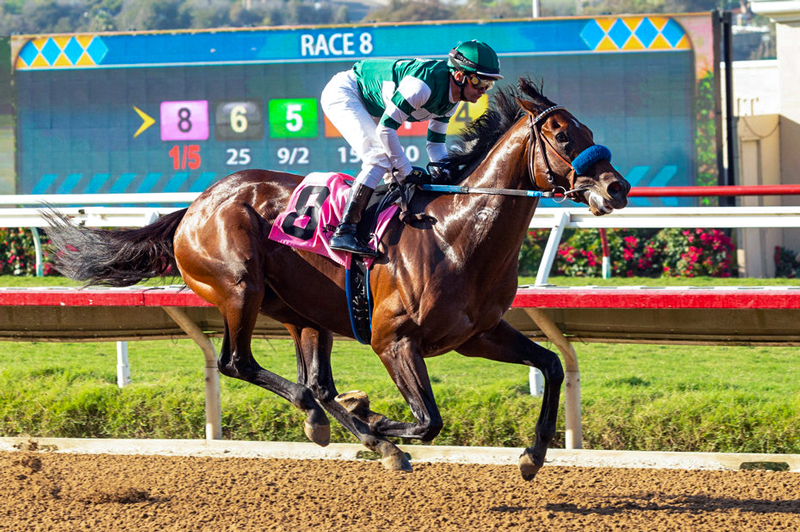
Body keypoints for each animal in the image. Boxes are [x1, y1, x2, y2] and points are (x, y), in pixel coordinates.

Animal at [45, 79, 632, 482]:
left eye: (589, 132)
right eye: (562, 135)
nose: (617, 188)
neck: (456, 233)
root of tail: (196, 205)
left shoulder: (477, 335)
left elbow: (551, 365)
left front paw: (533, 455)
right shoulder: (392, 339)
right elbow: (427, 420)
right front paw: (376, 426)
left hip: (304, 314)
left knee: (316, 382)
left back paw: (339, 422)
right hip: (239, 288)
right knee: (242, 364)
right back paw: (344, 423)